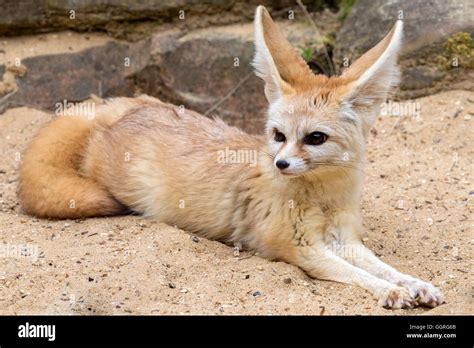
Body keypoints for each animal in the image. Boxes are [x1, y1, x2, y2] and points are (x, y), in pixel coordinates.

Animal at [17, 6, 444, 308]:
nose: (281, 164)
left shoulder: (347, 240)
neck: (323, 199)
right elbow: (360, 275)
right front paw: (390, 291)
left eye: (315, 138)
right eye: (278, 136)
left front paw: (415, 283)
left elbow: (383, 267)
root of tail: (127, 106)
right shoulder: (300, 248)